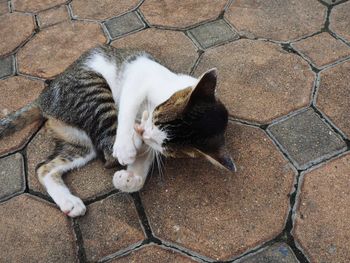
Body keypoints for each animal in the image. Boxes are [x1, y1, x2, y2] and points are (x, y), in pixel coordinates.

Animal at [0, 46, 235, 219]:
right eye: (157, 116)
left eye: (164, 146)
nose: (145, 133)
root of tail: (43, 98)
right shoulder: (139, 76)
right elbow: (128, 109)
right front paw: (125, 147)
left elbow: (143, 161)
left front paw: (130, 179)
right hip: (93, 89)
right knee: (108, 143)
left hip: (78, 143)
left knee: (45, 167)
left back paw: (69, 202)